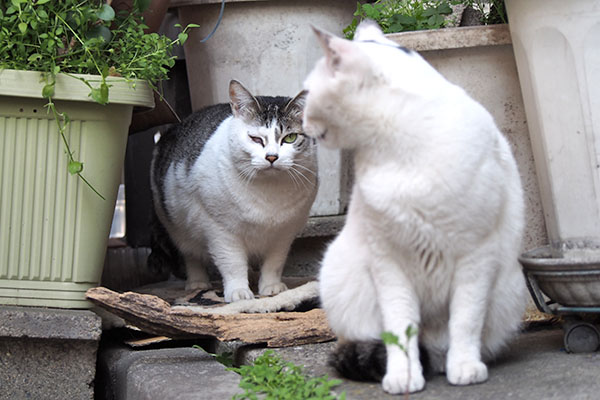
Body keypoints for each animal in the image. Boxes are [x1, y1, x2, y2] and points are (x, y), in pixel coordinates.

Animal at [150, 79, 318, 302]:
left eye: (290, 138)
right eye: (256, 139)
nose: (272, 157)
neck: (268, 194)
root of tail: (175, 126)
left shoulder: (284, 234)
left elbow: (274, 263)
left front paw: (271, 288)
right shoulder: (220, 231)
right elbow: (233, 264)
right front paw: (239, 292)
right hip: (176, 226)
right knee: (191, 255)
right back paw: (197, 283)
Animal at [302, 21, 528, 394]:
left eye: (306, 92)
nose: (302, 124)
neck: (395, 147)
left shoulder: (476, 258)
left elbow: (465, 322)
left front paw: (465, 369)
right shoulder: (388, 263)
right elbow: (400, 329)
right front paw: (404, 376)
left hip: (508, 291)